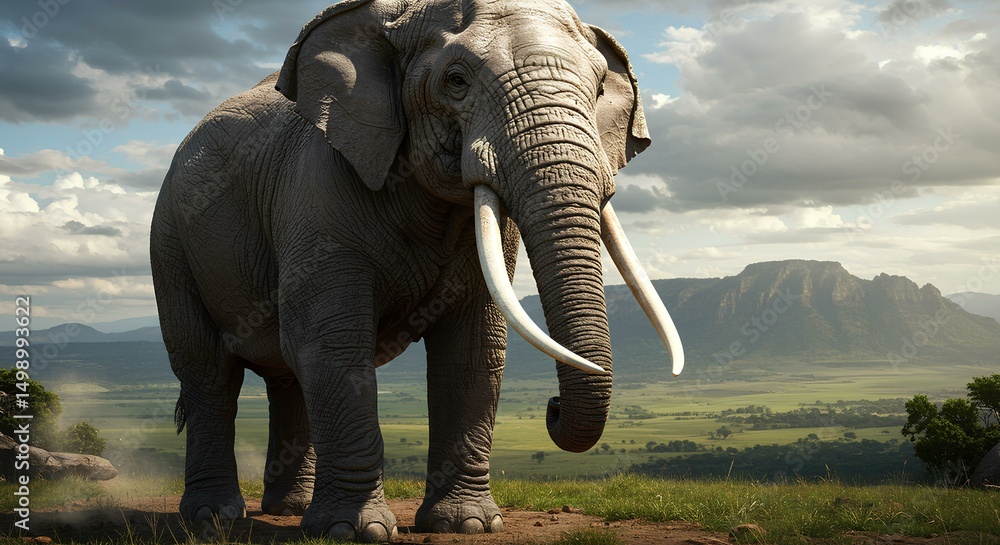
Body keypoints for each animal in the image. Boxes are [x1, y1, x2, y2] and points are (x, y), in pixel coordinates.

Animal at [149, 0, 683, 541]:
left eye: (598, 90)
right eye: (456, 81)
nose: (552, 408)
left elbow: (472, 348)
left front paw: (468, 525)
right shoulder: (317, 187)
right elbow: (331, 342)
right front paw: (355, 532)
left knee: (286, 378)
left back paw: (289, 510)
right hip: (170, 237)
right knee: (209, 371)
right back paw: (214, 516)